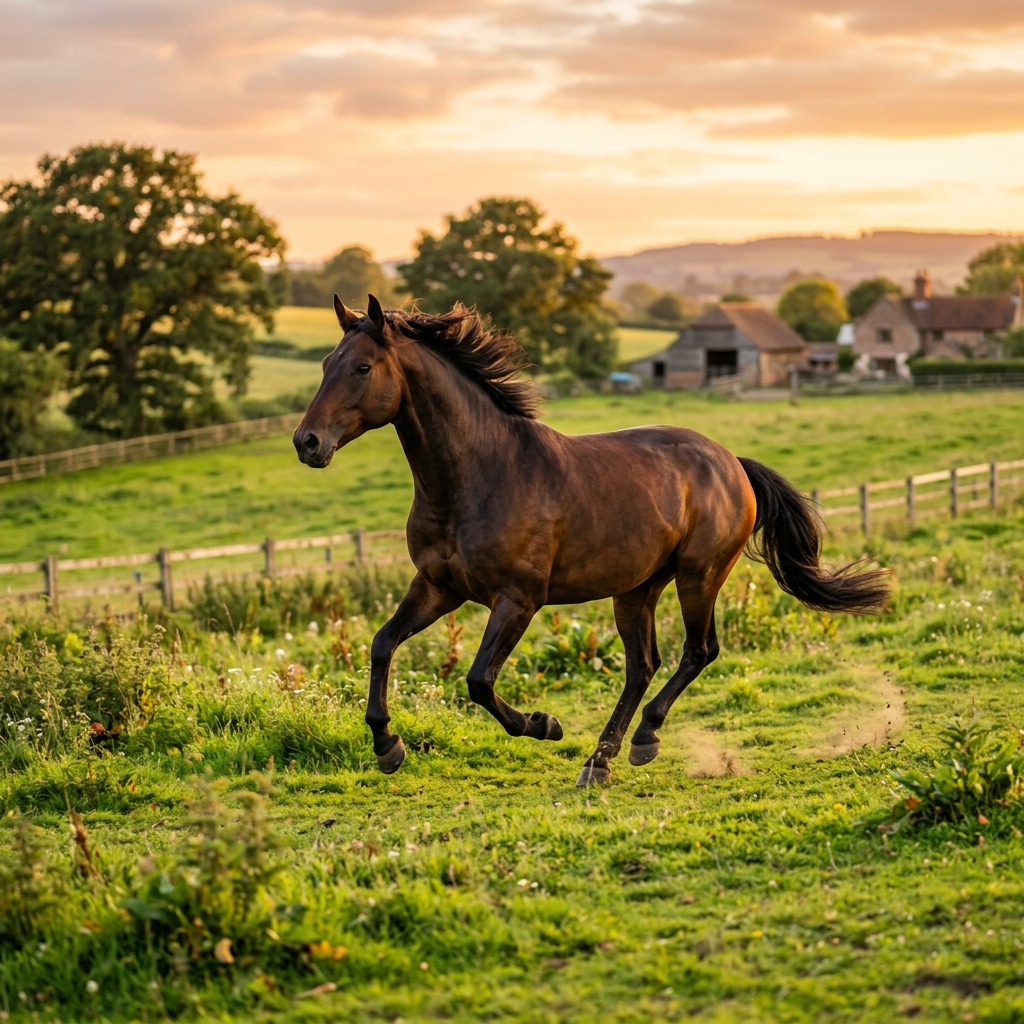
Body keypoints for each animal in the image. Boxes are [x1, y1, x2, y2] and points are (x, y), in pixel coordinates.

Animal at [293, 294, 888, 786]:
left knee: (698, 651)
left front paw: (543, 723)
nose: (307, 443)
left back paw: (641, 741)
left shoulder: (519, 599)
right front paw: (387, 746)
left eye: (363, 367)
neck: (480, 475)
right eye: (324, 366)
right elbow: (382, 644)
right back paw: (601, 761)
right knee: (642, 665)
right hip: (637, 589)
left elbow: (480, 679)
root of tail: (732, 463)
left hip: (699, 575)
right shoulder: (439, 586)